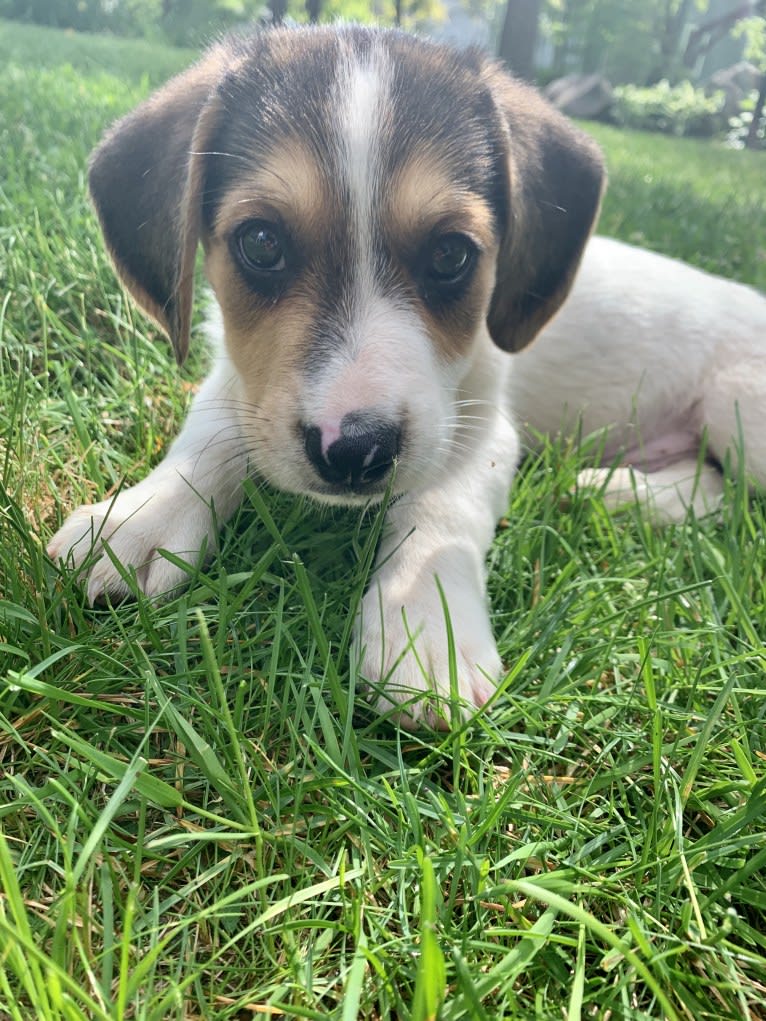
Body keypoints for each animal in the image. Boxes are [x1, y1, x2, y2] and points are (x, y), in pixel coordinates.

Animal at [48, 23, 766, 726]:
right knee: (711, 487)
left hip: (739, 411)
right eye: (260, 242)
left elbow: (441, 511)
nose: (353, 451)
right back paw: (605, 490)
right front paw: (139, 521)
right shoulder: (236, 373)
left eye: (452, 255)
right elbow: (208, 437)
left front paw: (426, 631)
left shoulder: (480, 426)